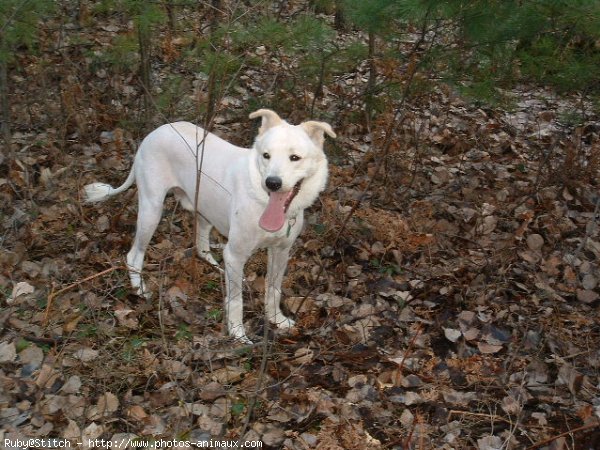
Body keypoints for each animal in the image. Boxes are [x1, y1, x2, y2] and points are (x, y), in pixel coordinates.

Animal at [82, 110, 336, 342]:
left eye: (295, 158)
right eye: (266, 156)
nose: (272, 183)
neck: (263, 201)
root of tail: (153, 134)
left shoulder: (281, 251)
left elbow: (273, 289)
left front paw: (277, 320)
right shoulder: (235, 253)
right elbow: (236, 301)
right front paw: (238, 334)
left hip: (202, 208)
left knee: (201, 245)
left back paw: (216, 267)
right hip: (151, 210)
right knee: (134, 255)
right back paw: (140, 290)